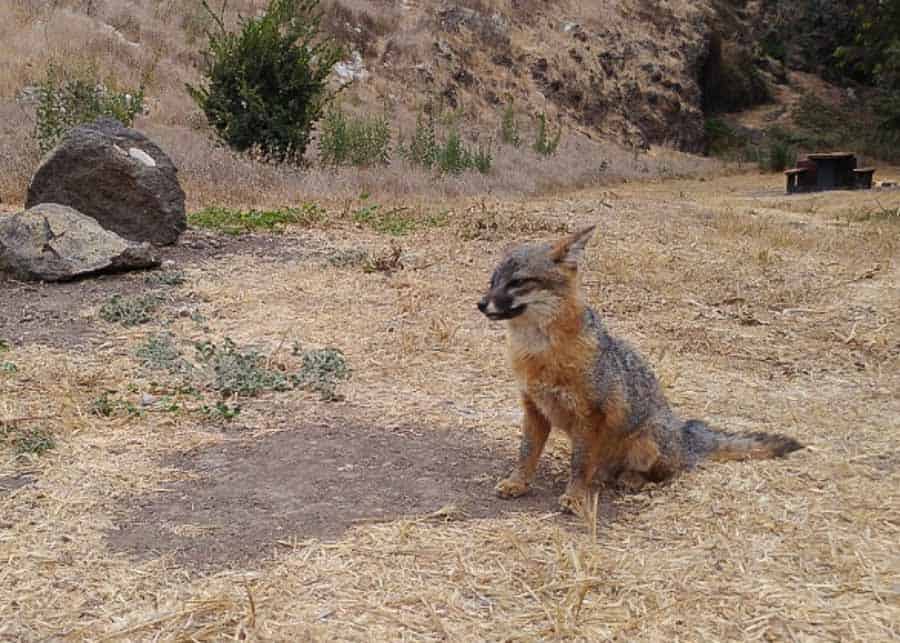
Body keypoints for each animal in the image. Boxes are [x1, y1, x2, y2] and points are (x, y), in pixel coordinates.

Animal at [478, 224, 800, 516]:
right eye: (493, 281)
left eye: (518, 282)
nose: (481, 304)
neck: (540, 352)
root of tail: (684, 435)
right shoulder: (534, 408)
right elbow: (526, 453)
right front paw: (517, 483)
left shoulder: (590, 415)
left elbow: (578, 465)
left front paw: (575, 497)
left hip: (647, 442)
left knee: (667, 473)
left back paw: (632, 479)